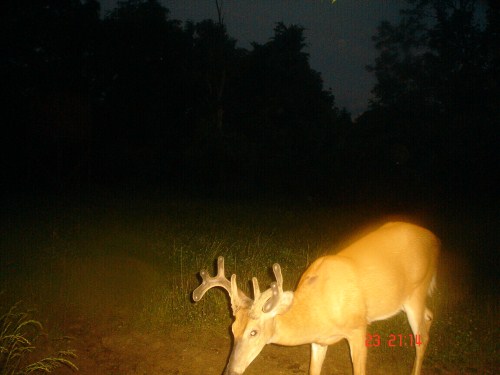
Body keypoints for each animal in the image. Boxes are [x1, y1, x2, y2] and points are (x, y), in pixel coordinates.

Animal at [193, 222, 440, 374]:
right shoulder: (318, 341)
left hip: (416, 292)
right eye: (232, 329)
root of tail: (434, 239)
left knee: (422, 336)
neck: (315, 310)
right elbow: (313, 370)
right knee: (430, 315)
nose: (229, 371)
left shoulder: (358, 327)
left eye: (254, 332)